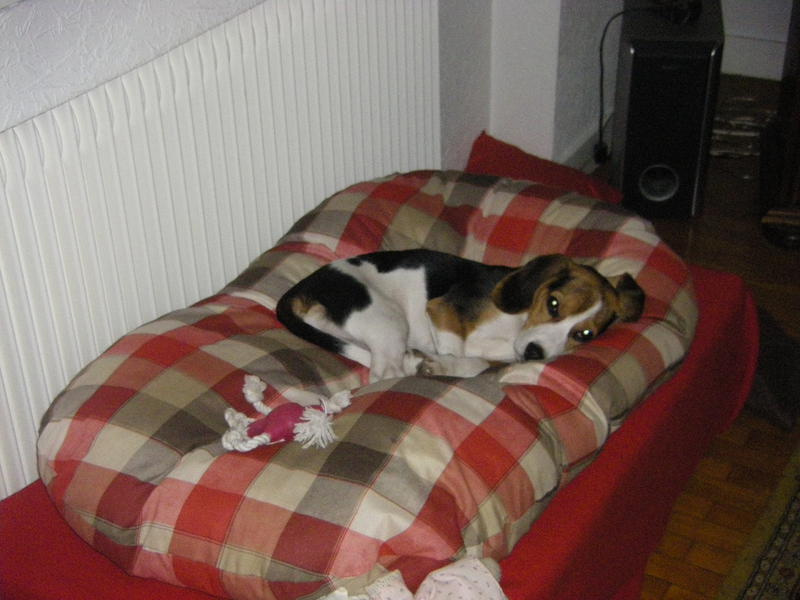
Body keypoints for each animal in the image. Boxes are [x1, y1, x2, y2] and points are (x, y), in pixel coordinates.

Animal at [276, 250, 645, 383]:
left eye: (584, 335)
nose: (534, 353)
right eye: (553, 304)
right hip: (389, 319)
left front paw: (442, 365)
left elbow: (476, 363)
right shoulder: (443, 310)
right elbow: (458, 352)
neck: (517, 324)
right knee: (385, 373)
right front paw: (442, 364)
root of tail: (304, 286)